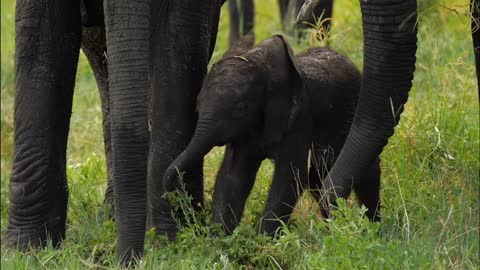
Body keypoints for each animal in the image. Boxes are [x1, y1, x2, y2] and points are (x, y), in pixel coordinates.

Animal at [163, 33, 380, 235]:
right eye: (197, 106)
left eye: (240, 109)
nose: (169, 194)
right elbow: (232, 176)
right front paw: (221, 240)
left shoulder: (299, 118)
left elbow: (289, 178)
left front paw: (262, 242)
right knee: (319, 177)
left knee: (361, 171)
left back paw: (370, 228)